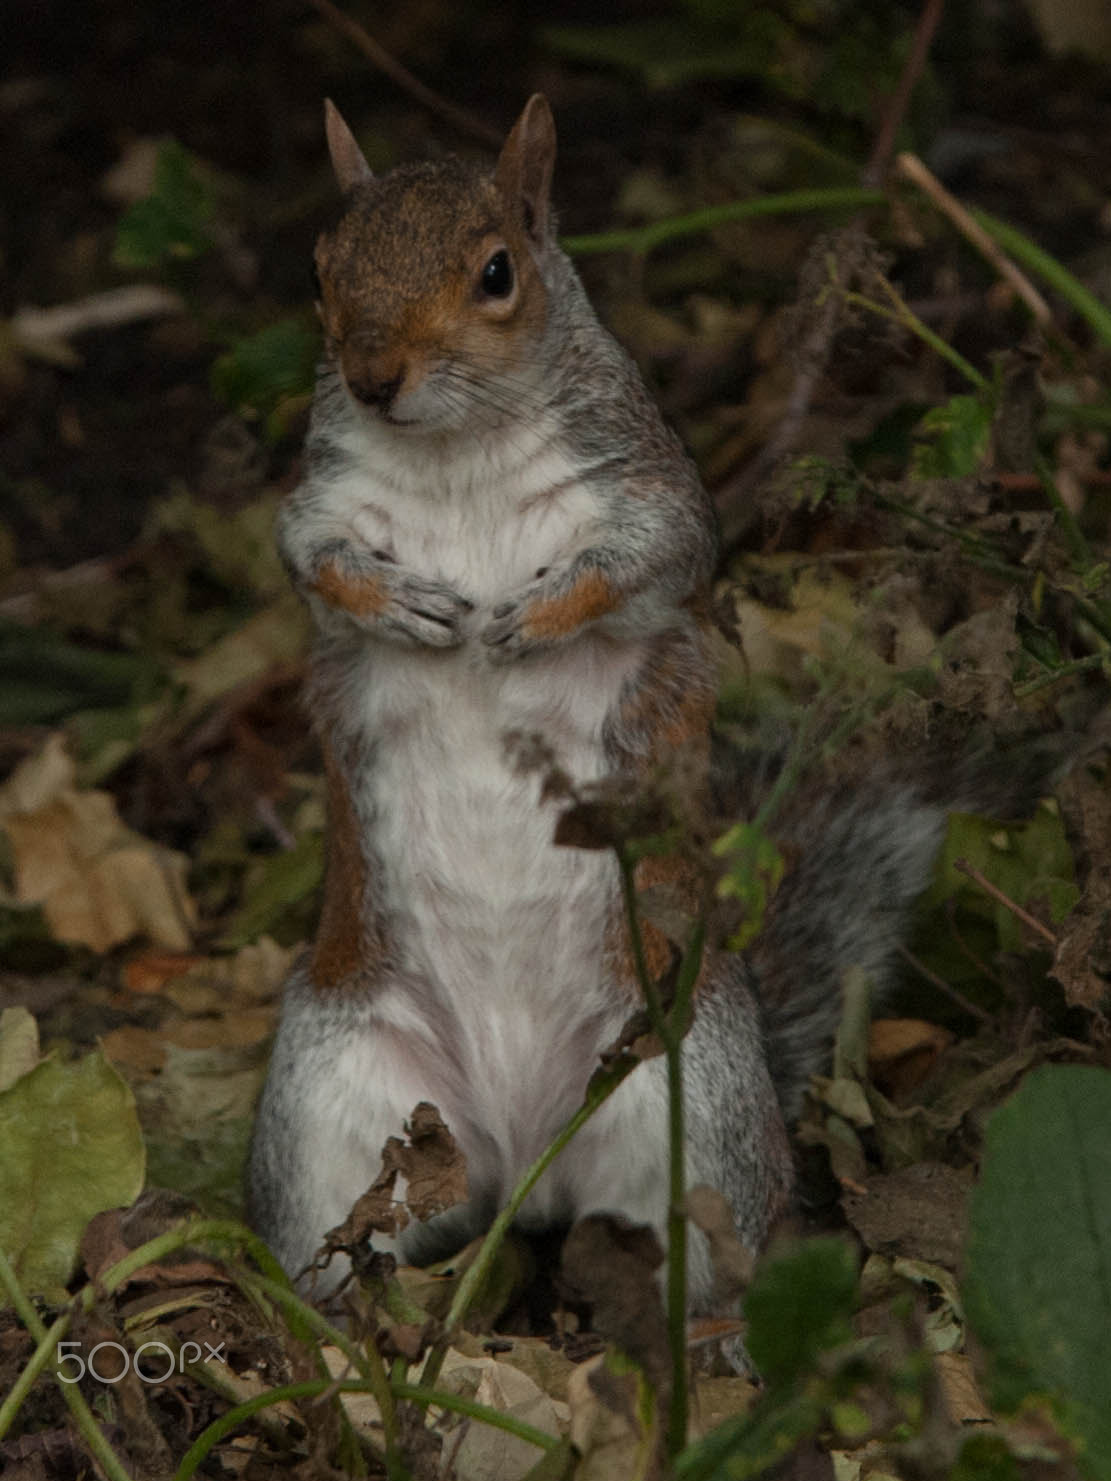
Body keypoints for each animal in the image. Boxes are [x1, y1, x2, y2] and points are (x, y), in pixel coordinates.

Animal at [246, 94, 946, 1309]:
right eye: (322, 269)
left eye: (497, 271)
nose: (373, 375)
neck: (455, 449)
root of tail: (524, 1147)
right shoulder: (320, 502)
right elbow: (309, 558)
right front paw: (403, 605)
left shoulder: (647, 485)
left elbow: (650, 559)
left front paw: (532, 618)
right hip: (336, 1088)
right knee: (326, 1242)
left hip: (688, 1082)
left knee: (721, 1257)